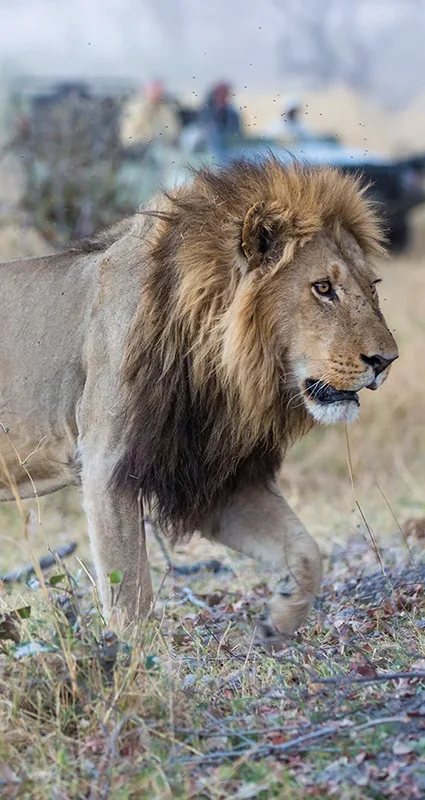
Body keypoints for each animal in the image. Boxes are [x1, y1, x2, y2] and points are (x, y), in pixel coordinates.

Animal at [0, 158, 398, 636]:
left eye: (373, 286)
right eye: (322, 288)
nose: (386, 360)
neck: (215, 364)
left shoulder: (211, 477)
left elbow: (306, 553)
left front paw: (280, 620)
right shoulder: (105, 465)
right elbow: (130, 597)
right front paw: (132, 657)